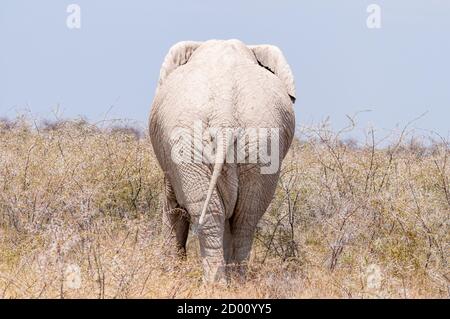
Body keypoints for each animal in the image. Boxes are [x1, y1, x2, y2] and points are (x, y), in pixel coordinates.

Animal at [149, 39, 296, 282]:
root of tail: (224, 117)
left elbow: (173, 206)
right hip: (261, 145)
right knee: (245, 218)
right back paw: (236, 283)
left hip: (189, 145)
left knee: (211, 216)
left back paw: (214, 284)